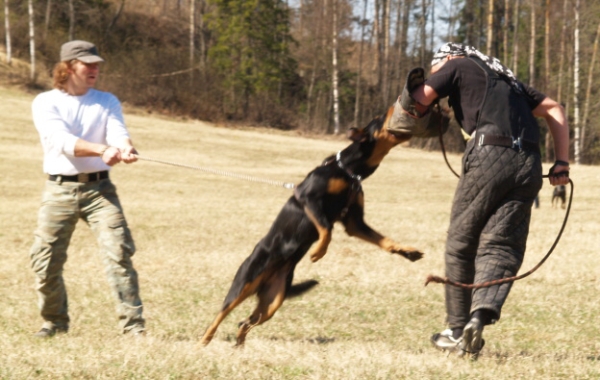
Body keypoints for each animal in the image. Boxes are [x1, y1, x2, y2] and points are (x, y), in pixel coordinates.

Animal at [200, 107, 422, 348]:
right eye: (379, 118)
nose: (392, 108)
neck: (350, 172)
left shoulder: (354, 222)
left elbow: (383, 240)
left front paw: (408, 251)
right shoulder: (310, 199)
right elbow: (327, 229)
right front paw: (318, 253)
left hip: (273, 301)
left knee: (246, 322)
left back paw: (239, 346)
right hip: (245, 283)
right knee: (221, 314)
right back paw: (205, 340)